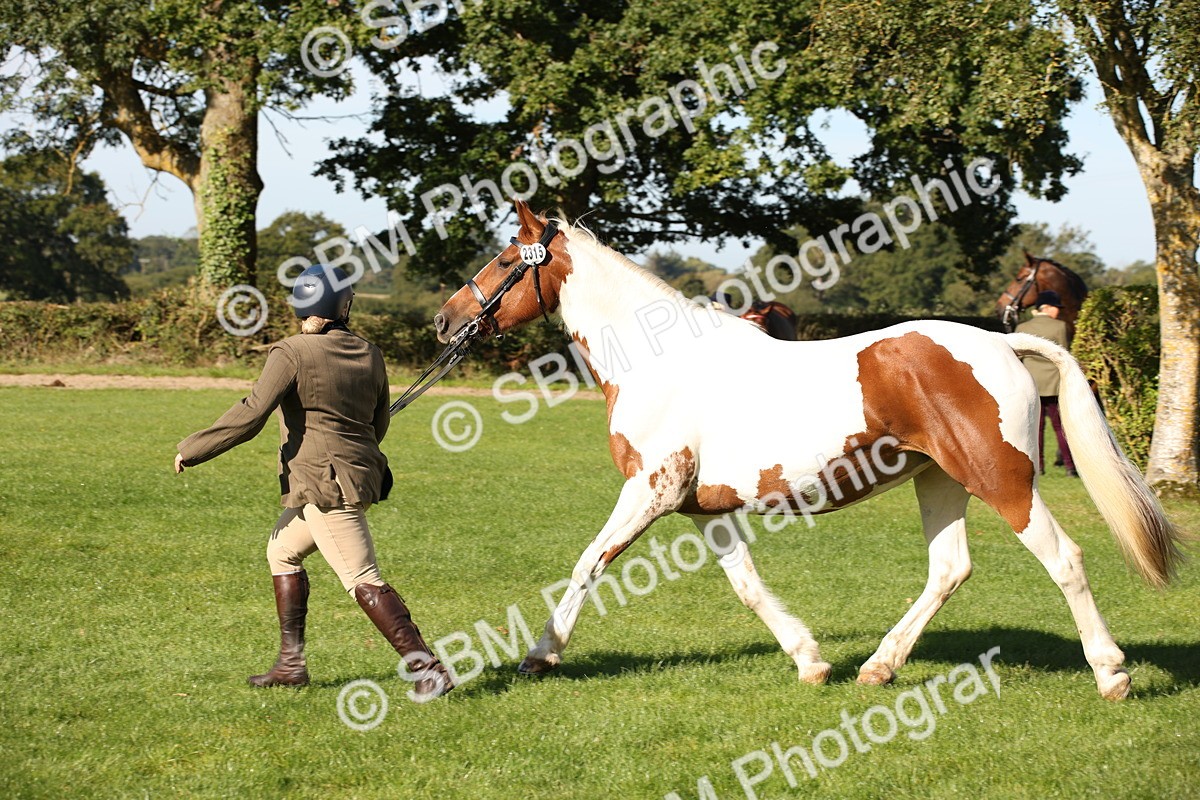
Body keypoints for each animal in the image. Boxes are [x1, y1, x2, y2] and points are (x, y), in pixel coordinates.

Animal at [433, 200, 1181, 701]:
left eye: (506, 260)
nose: (445, 320)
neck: (658, 361)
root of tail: (1002, 342)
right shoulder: (704, 510)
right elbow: (746, 586)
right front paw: (811, 662)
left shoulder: (649, 491)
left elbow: (588, 561)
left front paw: (540, 655)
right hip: (939, 480)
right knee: (949, 568)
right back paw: (878, 667)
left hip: (1002, 480)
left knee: (1064, 559)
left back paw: (1111, 672)